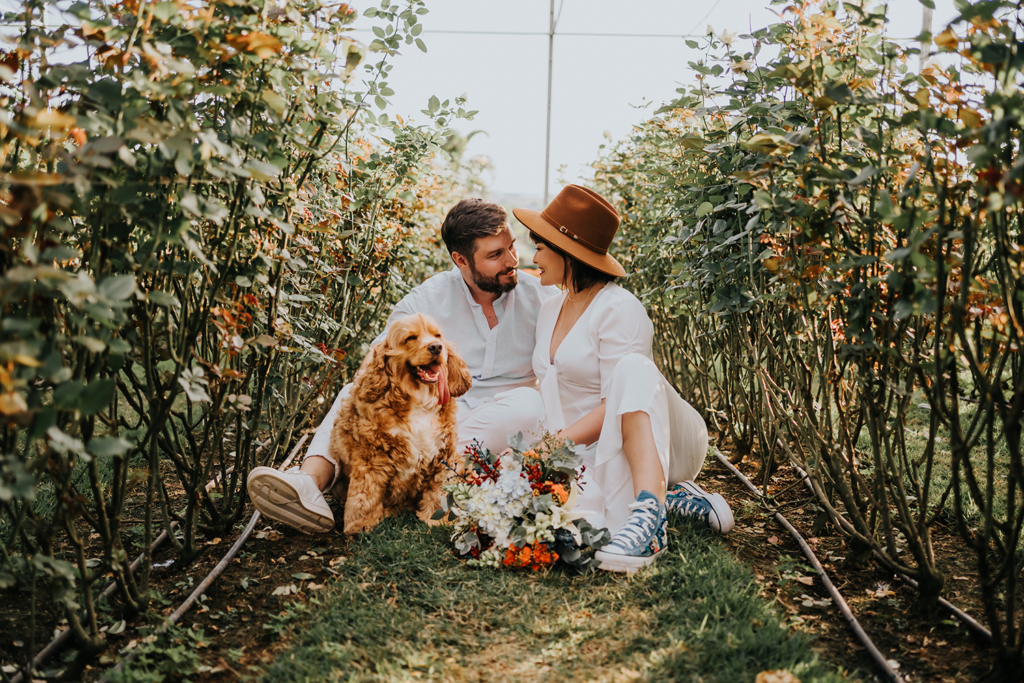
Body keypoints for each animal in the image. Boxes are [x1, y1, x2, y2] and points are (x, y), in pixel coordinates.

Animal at [327, 313, 471, 532]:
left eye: (437, 335)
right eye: (410, 338)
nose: (437, 347)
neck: (419, 400)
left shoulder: (444, 455)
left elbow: (439, 491)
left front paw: (437, 519)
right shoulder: (371, 456)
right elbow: (365, 492)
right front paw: (361, 524)